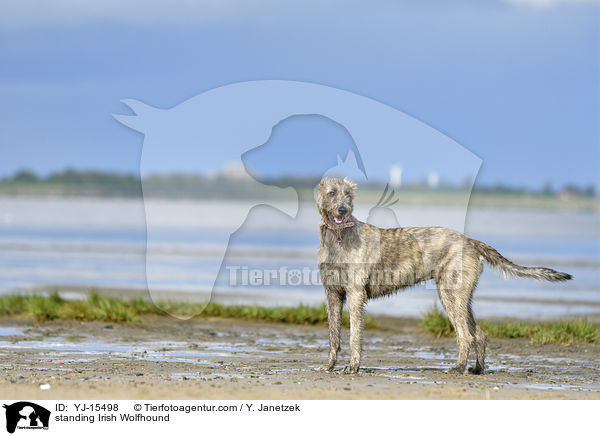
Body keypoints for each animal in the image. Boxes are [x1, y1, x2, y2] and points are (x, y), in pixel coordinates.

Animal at [314, 177, 572, 374]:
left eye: (348, 195)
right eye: (331, 193)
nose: (343, 210)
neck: (339, 237)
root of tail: (470, 240)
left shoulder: (356, 295)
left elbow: (354, 335)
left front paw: (352, 367)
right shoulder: (333, 295)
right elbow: (333, 335)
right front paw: (329, 366)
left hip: (450, 295)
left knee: (465, 336)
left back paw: (457, 367)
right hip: (461, 297)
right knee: (479, 334)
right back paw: (476, 369)